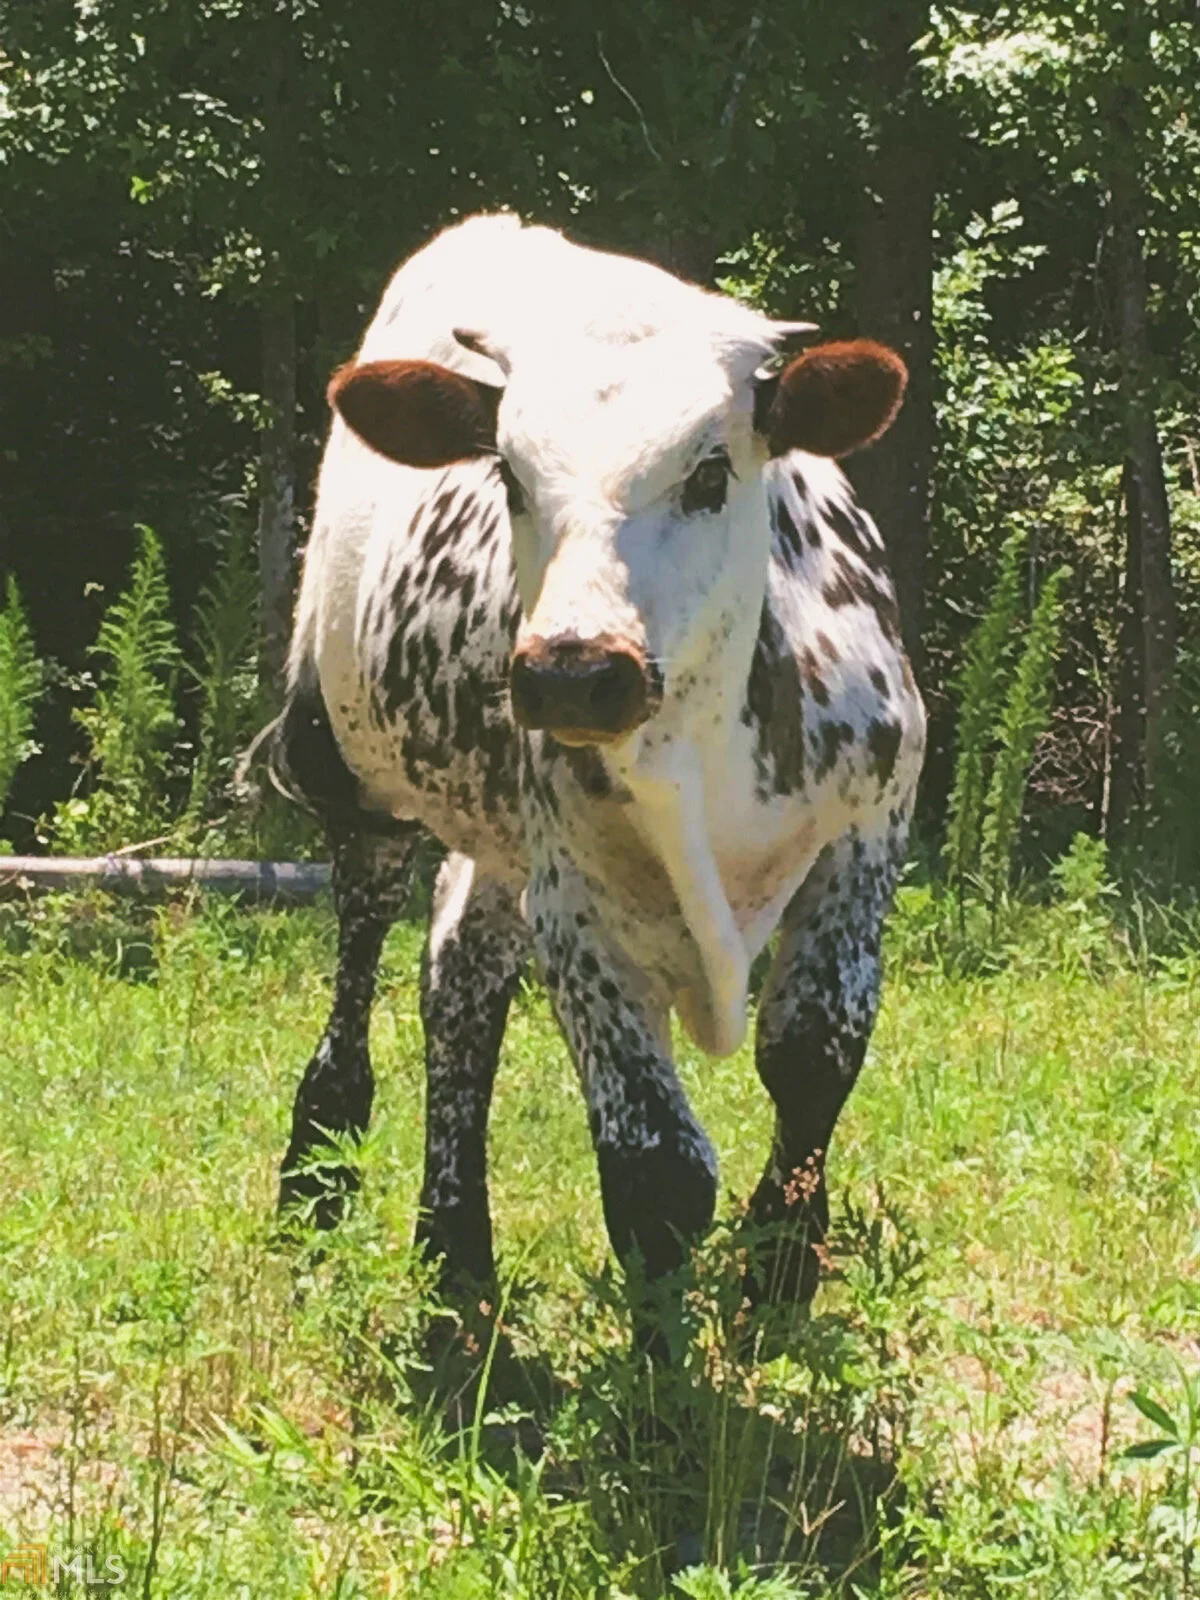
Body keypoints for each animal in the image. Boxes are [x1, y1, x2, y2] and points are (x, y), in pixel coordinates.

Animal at [274, 213, 925, 1309]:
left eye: (710, 473)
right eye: (508, 476)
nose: (574, 672)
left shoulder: (866, 830)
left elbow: (810, 1056)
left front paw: (782, 1263)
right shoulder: (577, 901)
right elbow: (656, 1170)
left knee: (461, 979)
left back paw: (454, 1246)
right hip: (349, 771)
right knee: (366, 955)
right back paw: (320, 1170)